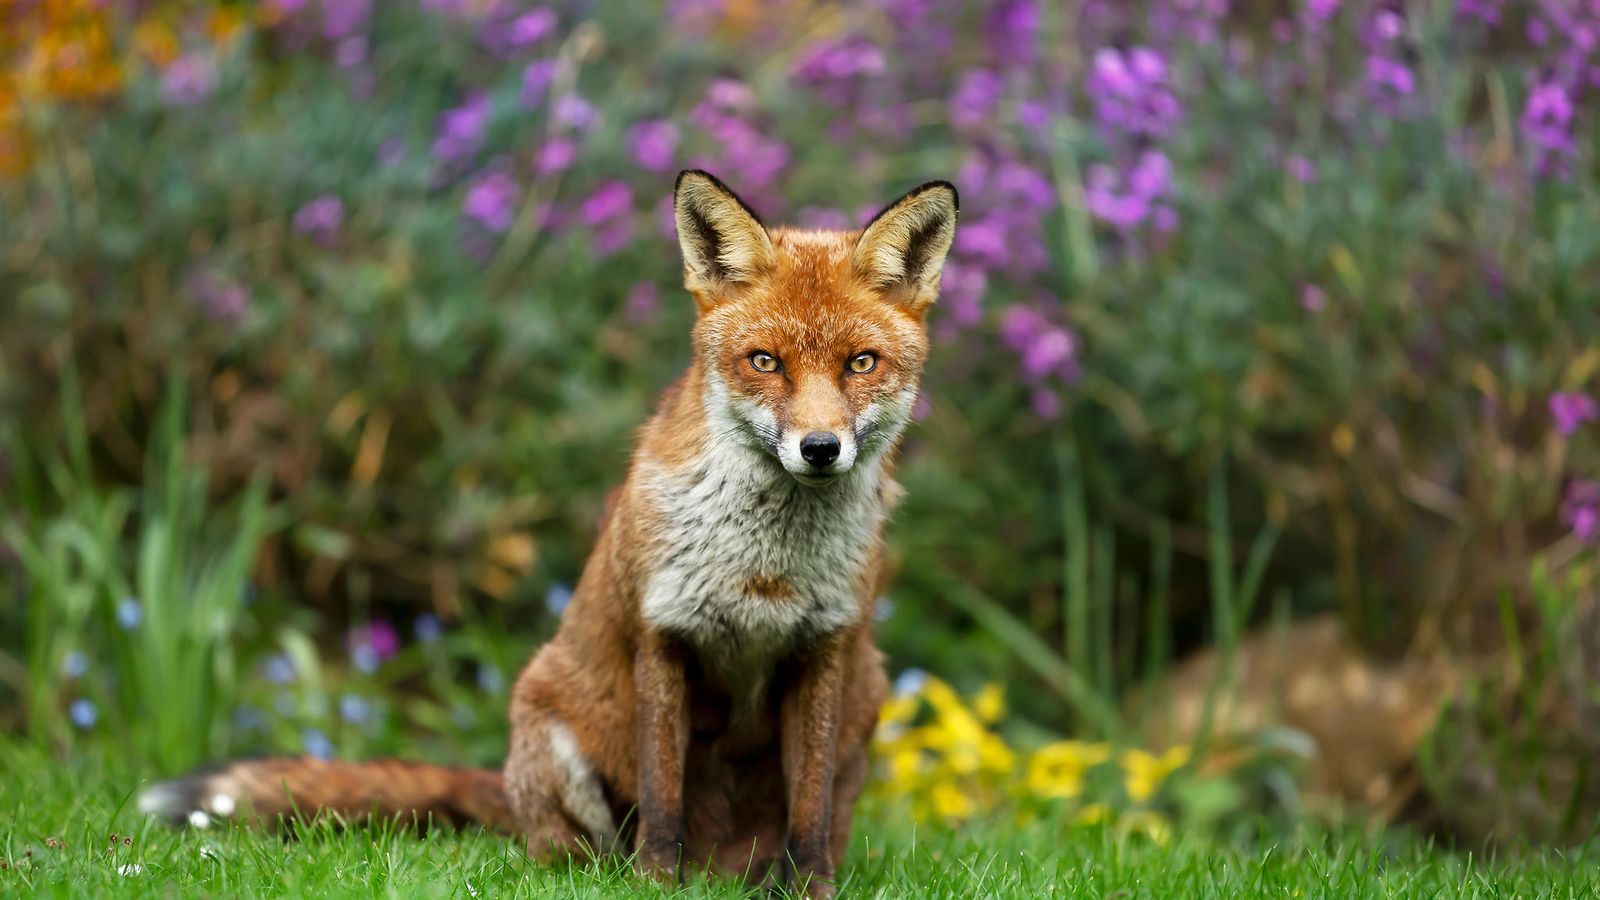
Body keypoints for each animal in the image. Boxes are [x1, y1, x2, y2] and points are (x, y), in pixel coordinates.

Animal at [137, 169, 953, 896]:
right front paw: (656, 887)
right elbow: (663, 799)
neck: (765, 569)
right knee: (572, 853)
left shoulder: (823, 651)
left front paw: (811, 891)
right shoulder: (664, 637)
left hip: (865, 706)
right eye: (765, 362)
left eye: (861, 363)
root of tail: (720, 872)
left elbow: (808, 817)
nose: (820, 448)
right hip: (549, 725)